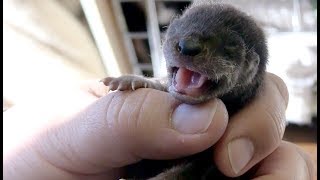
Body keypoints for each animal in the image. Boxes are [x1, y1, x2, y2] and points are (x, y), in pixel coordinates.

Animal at [102, 1, 268, 180]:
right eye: (180, 26)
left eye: (230, 45)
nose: (188, 46)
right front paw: (134, 80)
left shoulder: (206, 163)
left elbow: (188, 171)